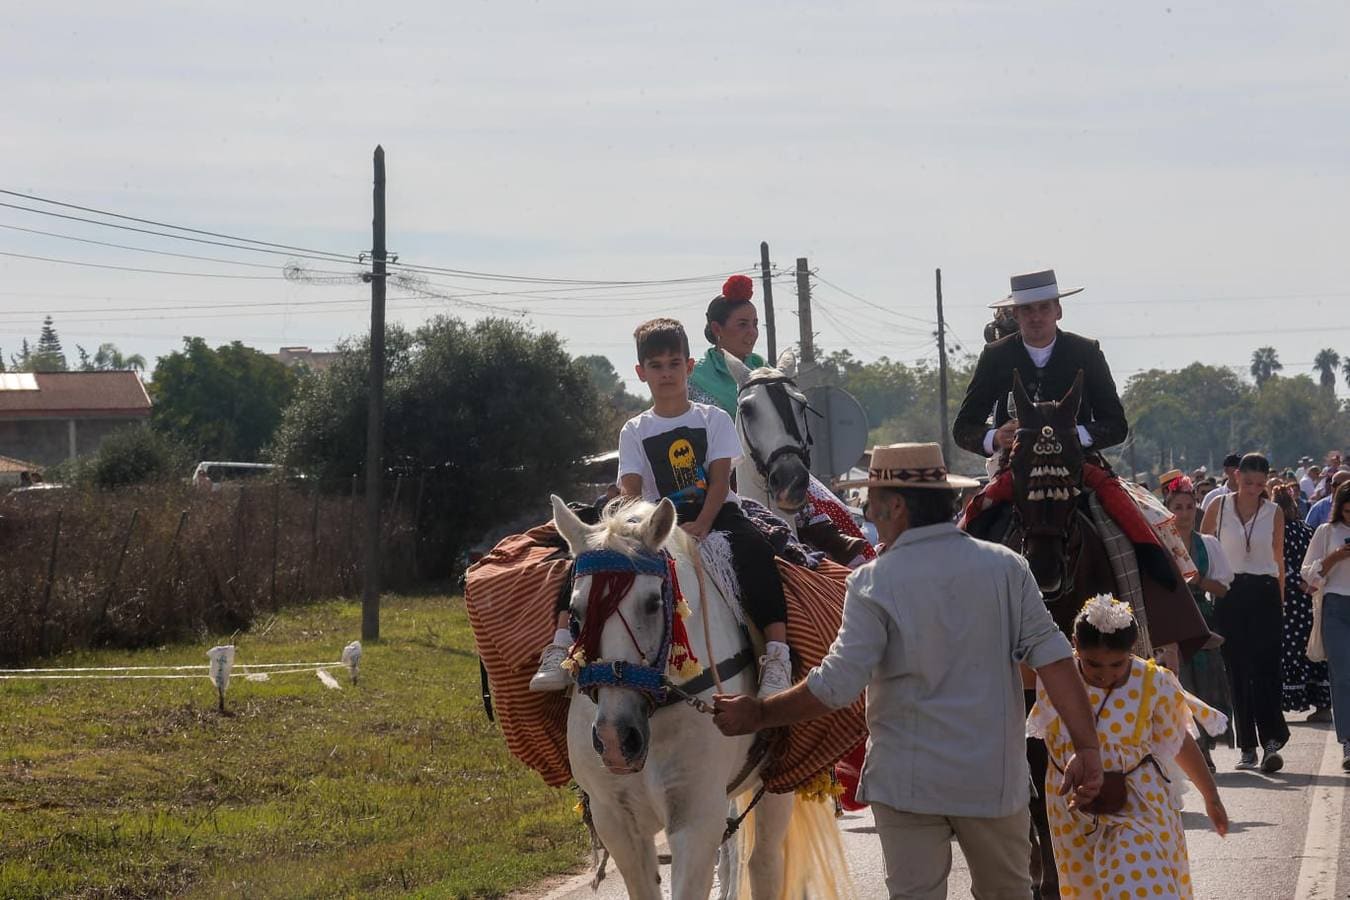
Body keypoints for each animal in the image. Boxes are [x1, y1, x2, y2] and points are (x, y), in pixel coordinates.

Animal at [548, 496, 842, 895]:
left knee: (763, 863)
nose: (615, 738)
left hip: (776, 788)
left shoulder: (696, 819)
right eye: (575, 613)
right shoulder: (617, 824)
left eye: (653, 603)